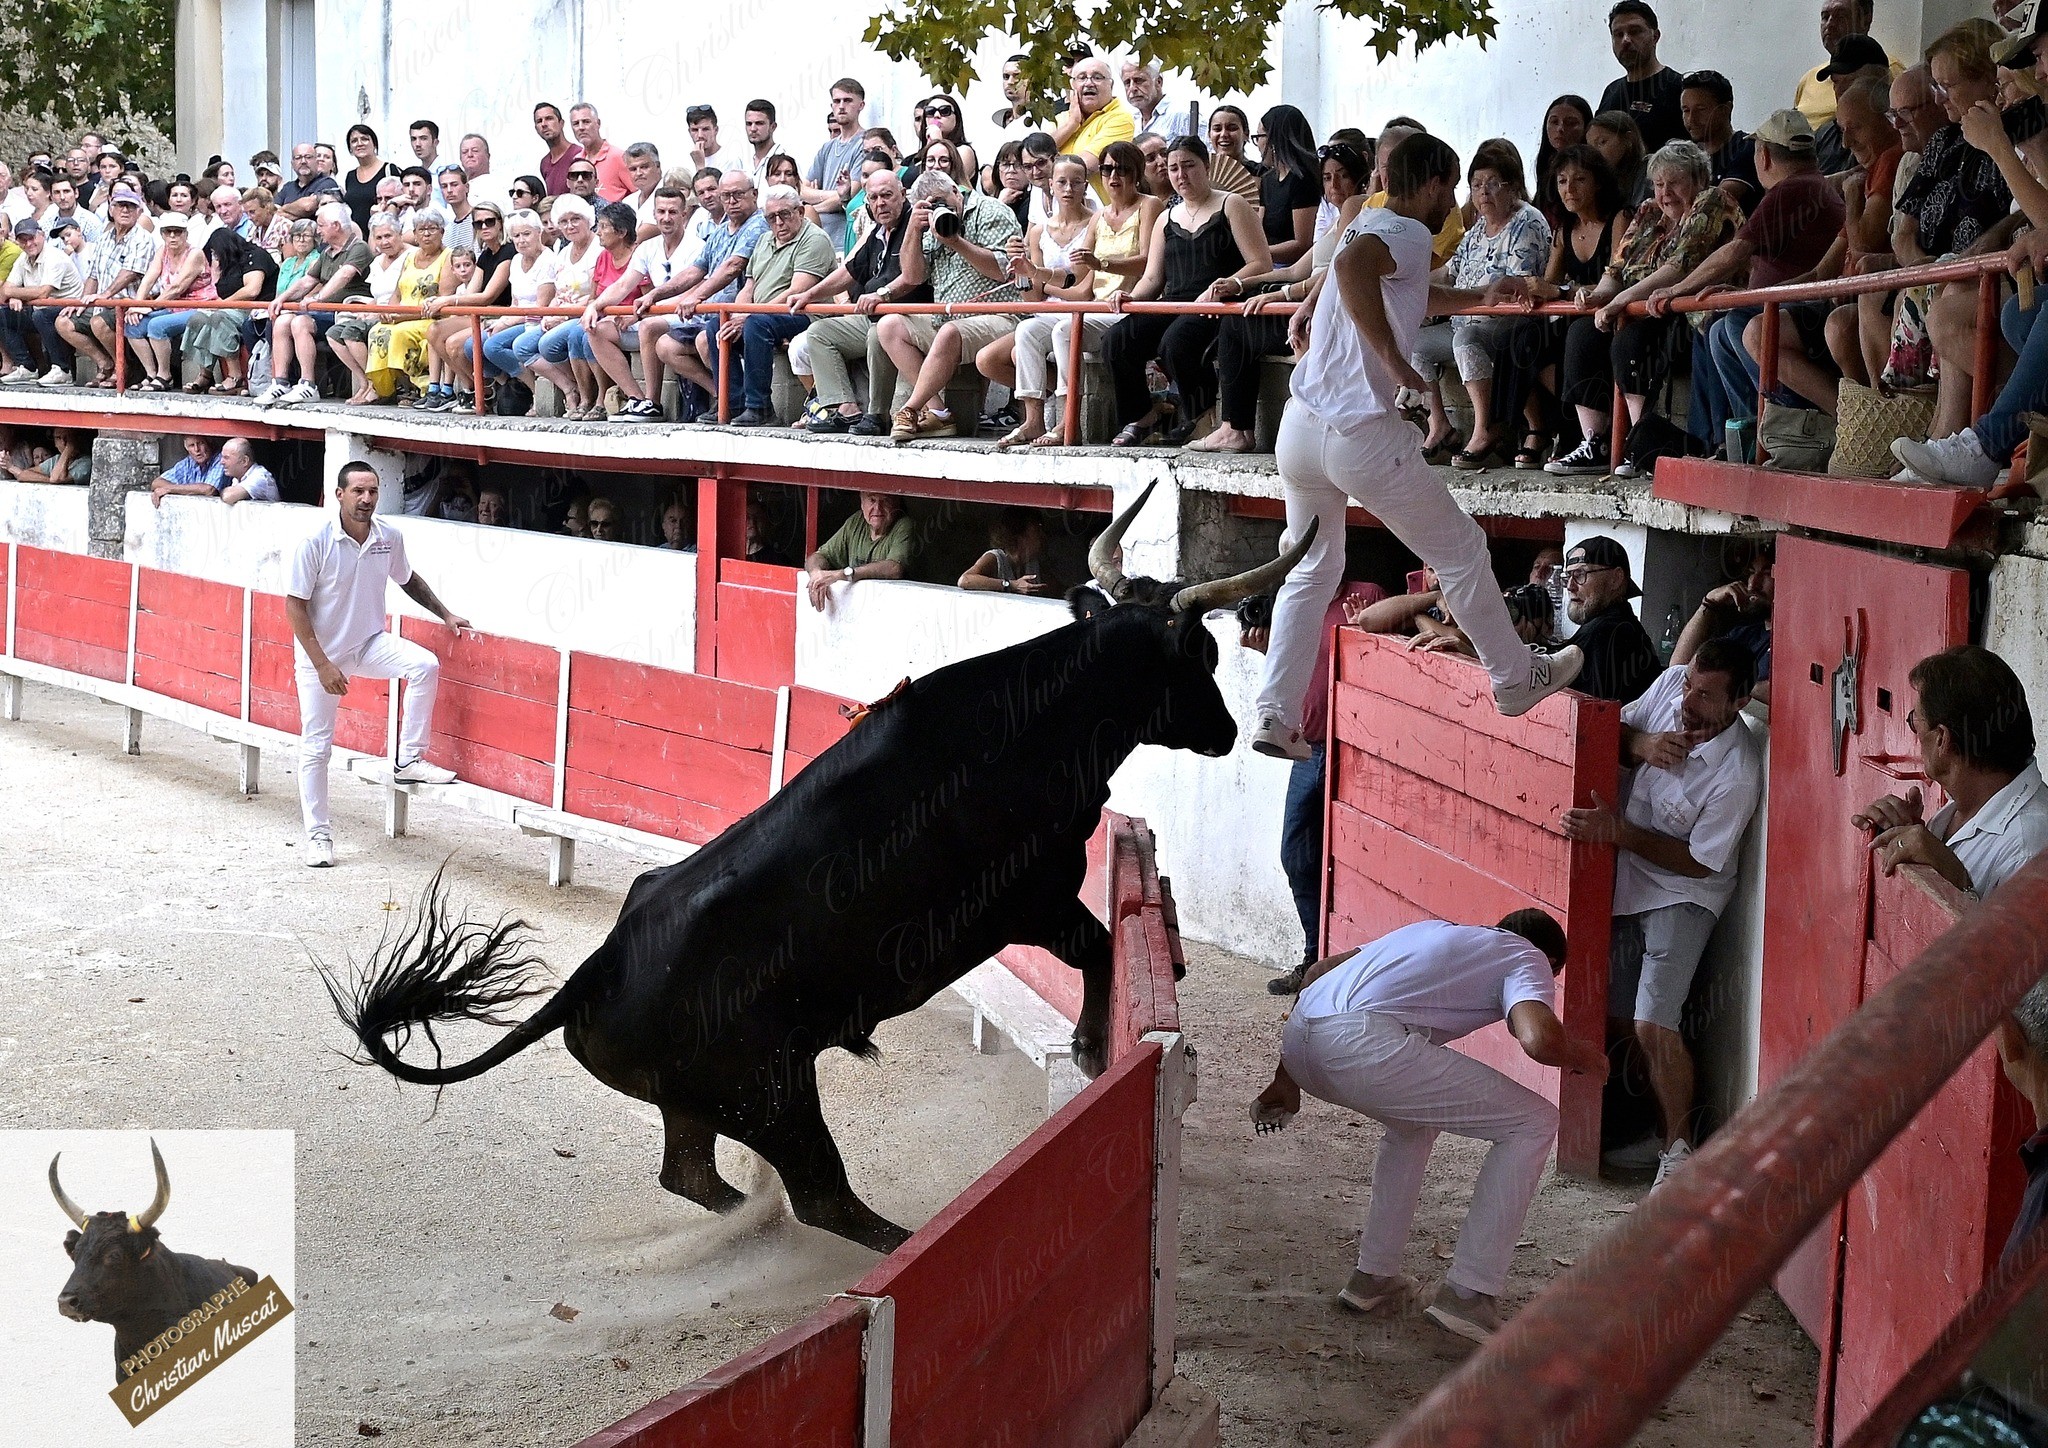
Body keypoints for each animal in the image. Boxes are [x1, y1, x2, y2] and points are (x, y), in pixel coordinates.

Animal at [319, 489, 1310, 1253]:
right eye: (1203, 653)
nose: (1227, 729)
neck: (1038, 717)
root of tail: (594, 971)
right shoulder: (1034, 903)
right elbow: (1103, 951)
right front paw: (1086, 1047)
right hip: (779, 1096)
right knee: (823, 1197)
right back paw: (906, 1244)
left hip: (706, 1102)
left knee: (694, 1176)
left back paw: (745, 1221)